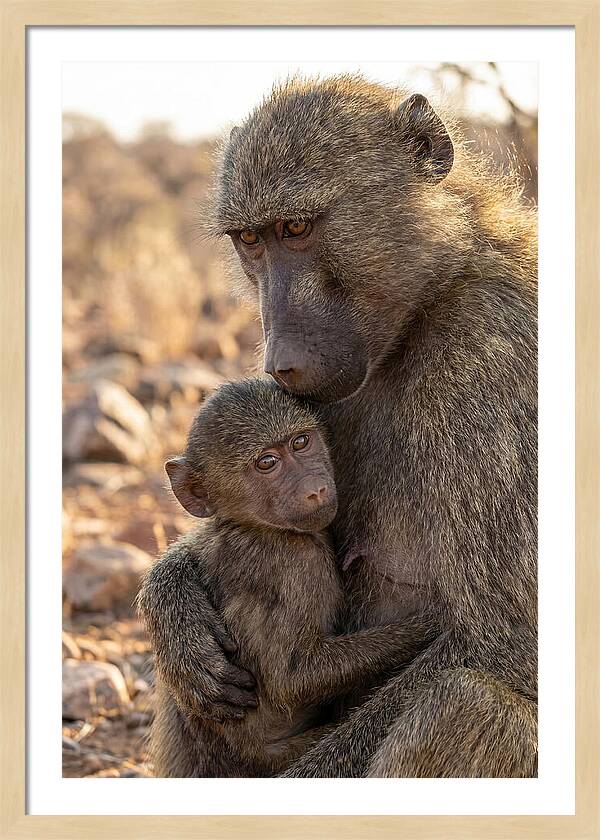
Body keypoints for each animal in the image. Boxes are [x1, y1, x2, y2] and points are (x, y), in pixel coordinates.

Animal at [138, 378, 436, 777]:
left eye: (301, 442)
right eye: (267, 463)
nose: (316, 489)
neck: (253, 526)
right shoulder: (297, 564)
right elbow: (292, 679)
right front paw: (429, 625)